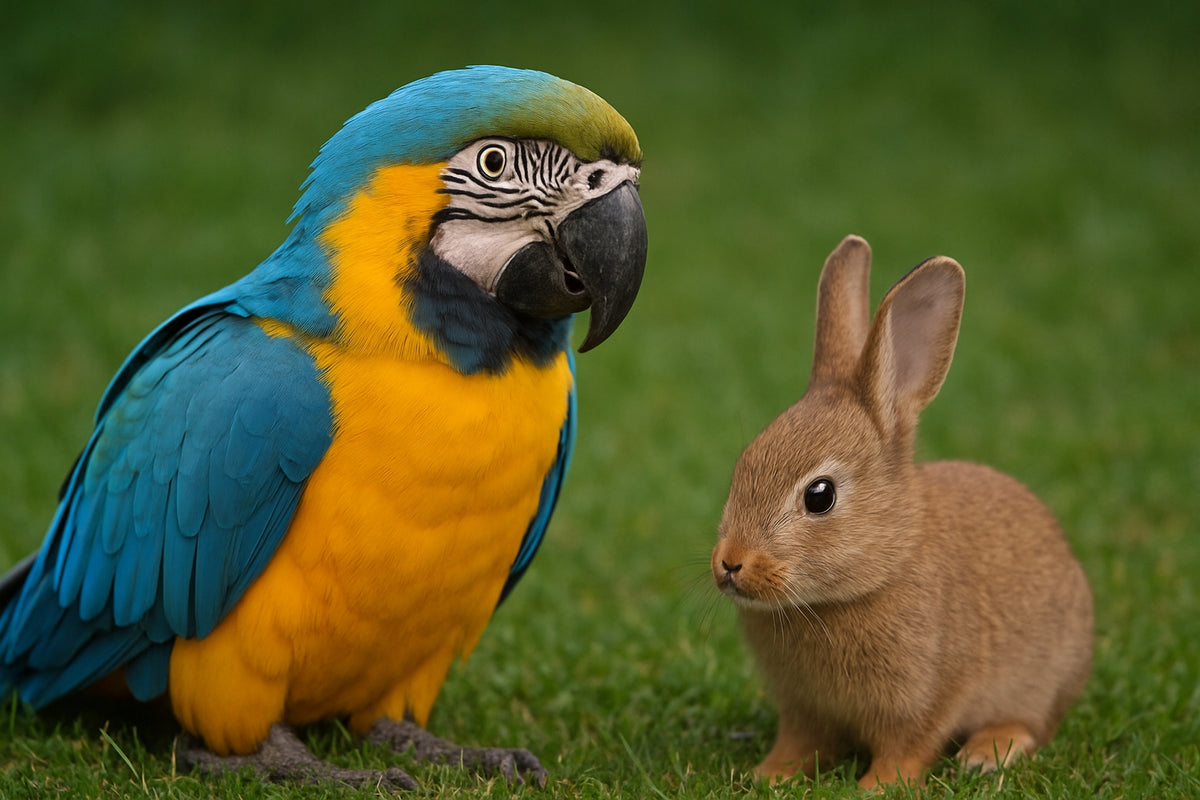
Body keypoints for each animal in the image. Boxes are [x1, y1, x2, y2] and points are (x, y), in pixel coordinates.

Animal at [711, 235, 1092, 789]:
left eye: (819, 496)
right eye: (742, 465)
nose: (730, 563)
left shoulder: (927, 697)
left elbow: (909, 746)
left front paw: (876, 788)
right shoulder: (804, 710)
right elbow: (800, 743)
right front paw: (769, 776)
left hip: (1043, 677)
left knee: (1030, 724)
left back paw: (987, 752)